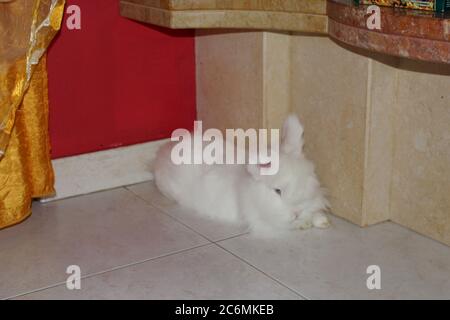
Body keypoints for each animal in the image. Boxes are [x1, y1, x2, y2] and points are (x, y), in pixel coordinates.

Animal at [153, 114, 332, 236]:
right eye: (277, 191)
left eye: (305, 181)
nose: (297, 213)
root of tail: (162, 152)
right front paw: (304, 224)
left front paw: (320, 220)